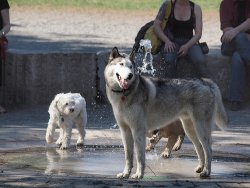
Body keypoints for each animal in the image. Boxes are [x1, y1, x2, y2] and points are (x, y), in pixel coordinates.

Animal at [104, 47, 228, 179]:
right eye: (121, 64)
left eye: (131, 66)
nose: (130, 75)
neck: (124, 94)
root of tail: (205, 81)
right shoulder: (125, 131)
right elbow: (128, 156)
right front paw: (125, 174)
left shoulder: (138, 130)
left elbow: (139, 156)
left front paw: (138, 174)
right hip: (190, 129)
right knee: (199, 147)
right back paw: (200, 168)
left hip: (201, 129)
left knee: (208, 149)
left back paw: (206, 172)